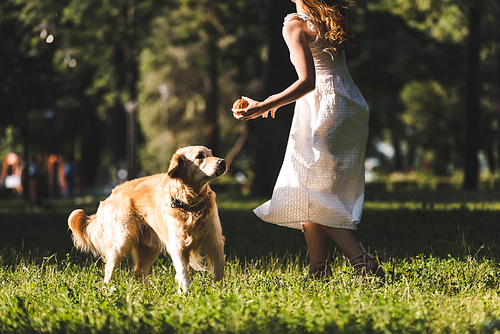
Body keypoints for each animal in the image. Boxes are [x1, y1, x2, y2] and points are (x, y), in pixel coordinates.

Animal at [68, 146, 227, 294]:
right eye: (200, 156)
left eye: (211, 153)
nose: (223, 162)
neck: (189, 205)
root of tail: (111, 194)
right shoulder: (178, 247)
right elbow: (184, 275)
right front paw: (185, 296)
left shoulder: (215, 243)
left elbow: (218, 274)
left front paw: (219, 295)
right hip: (122, 241)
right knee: (109, 269)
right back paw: (107, 291)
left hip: (149, 247)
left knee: (139, 271)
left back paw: (146, 293)